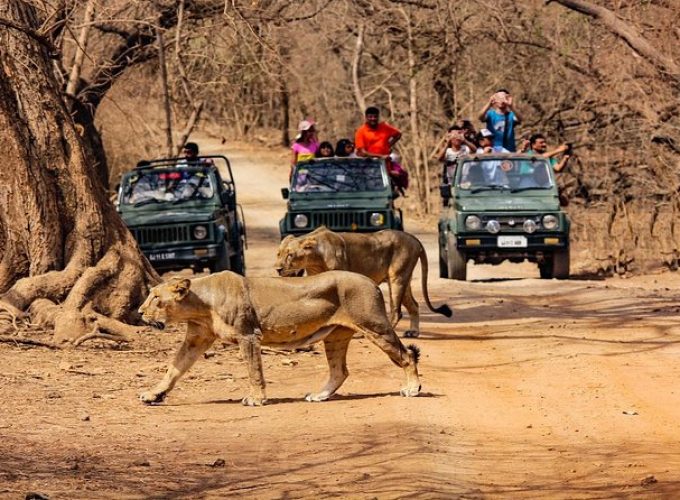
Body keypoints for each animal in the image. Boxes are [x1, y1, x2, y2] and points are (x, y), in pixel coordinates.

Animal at [138, 270, 420, 406]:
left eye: (156, 298)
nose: (139, 312)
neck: (200, 304)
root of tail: (372, 283)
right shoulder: (196, 338)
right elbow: (174, 369)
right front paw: (153, 394)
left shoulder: (248, 335)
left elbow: (254, 371)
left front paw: (256, 399)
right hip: (336, 337)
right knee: (340, 371)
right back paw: (319, 396)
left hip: (374, 325)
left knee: (407, 355)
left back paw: (413, 389)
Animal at [276, 228, 452, 338]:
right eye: (278, 254)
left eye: (290, 255)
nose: (278, 269)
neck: (315, 260)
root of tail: (415, 239)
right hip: (404, 279)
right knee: (414, 305)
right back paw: (413, 332)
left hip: (397, 278)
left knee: (397, 311)